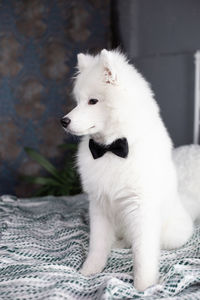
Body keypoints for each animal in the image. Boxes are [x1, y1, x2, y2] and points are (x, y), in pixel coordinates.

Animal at [61, 48, 200, 290]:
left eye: (93, 101)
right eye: (77, 101)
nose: (64, 121)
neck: (111, 148)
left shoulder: (141, 208)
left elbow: (143, 254)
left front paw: (144, 287)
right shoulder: (99, 205)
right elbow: (97, 245)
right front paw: (89, 271)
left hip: (170, 234)